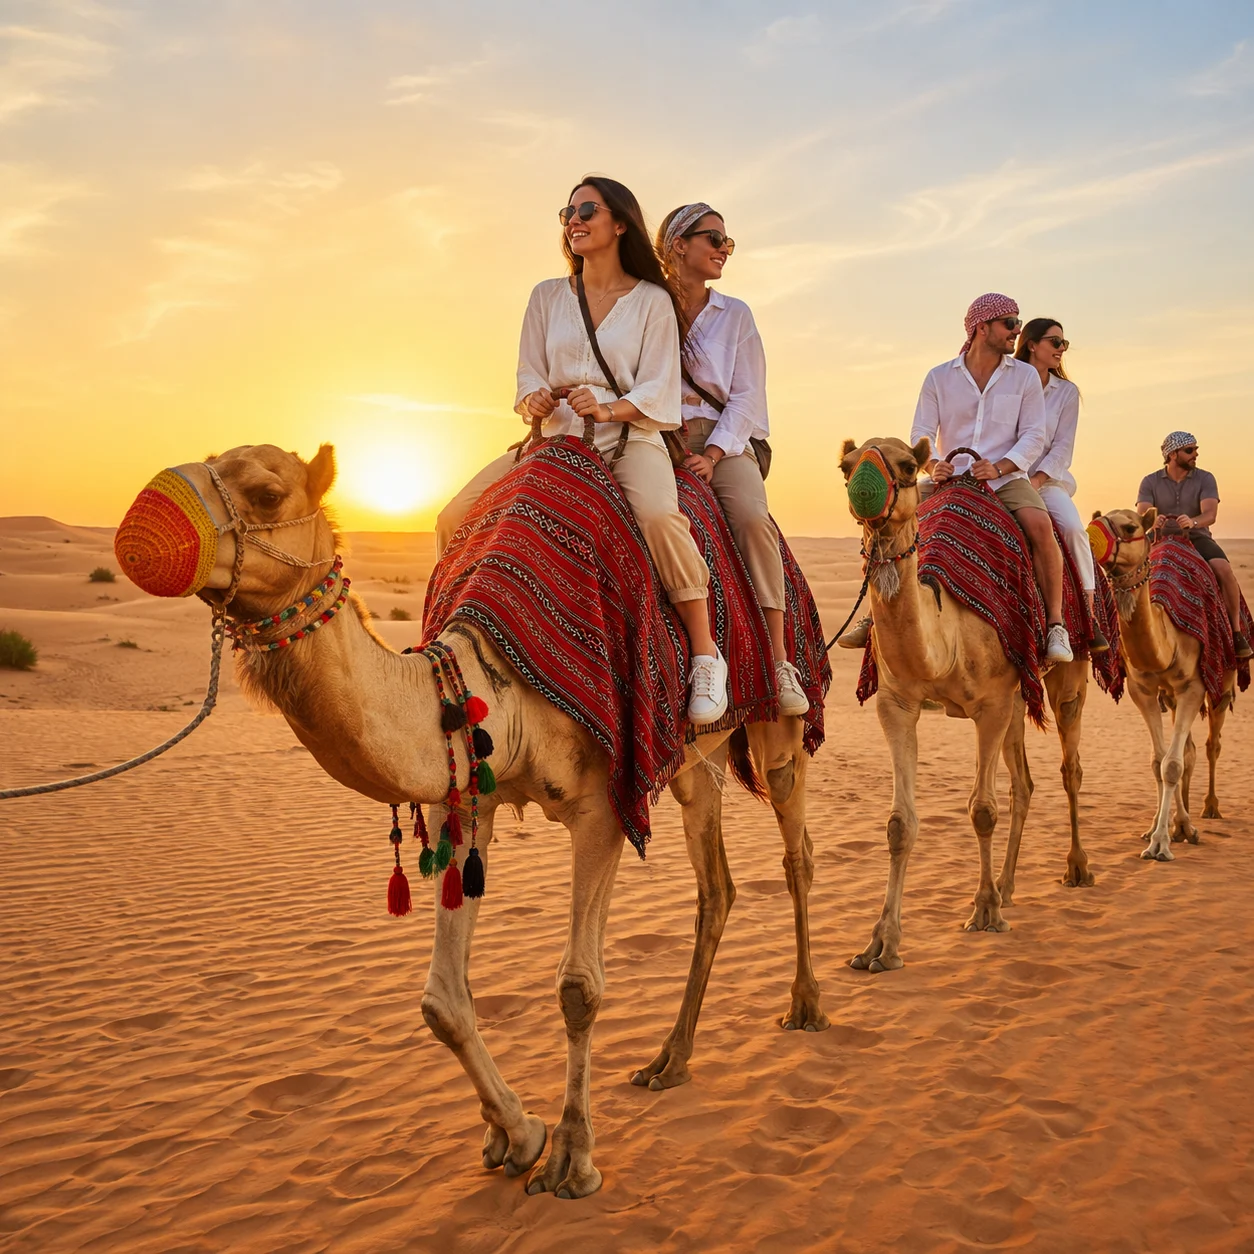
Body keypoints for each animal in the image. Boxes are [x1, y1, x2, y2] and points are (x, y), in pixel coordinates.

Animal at [116, 442, 827, 1200]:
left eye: (267, 492)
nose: (140, 528)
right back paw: (670, 1059)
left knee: (796, 849)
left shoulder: (602, 807)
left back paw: (806, 1005)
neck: (495, 682)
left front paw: (572, 1158)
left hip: (777, 721)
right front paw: (517, 1135)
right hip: (696, 758)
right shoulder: (463, 801)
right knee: (716, 885)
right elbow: (441, 1000)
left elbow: (578, 987)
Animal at [838, 436, 1095, 972]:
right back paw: (1008, 885)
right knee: (1024, 784)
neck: (947, 629)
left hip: (1068, 675)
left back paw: (1076, 869)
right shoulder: (896, 703)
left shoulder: (991, 705)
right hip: (1019, 697)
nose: (864, 492)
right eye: (845, 466)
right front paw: (881, 945)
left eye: (908, 466)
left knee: (1070, 767)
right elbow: (899, 824)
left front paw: (984, 913)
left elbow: (982, 811)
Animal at [1089, 508, 1234, 861]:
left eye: (1130, 527)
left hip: (1222, 684)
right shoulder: (1142, 690)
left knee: (1211, 745)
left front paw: (1160, 845)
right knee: (1189, 750)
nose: (1088, 533)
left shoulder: (1193, 688)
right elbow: (1160, 762)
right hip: (1169, 696)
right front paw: (1163, 829)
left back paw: (1209, 809)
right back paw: (1181, 823)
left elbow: (1172, 764)